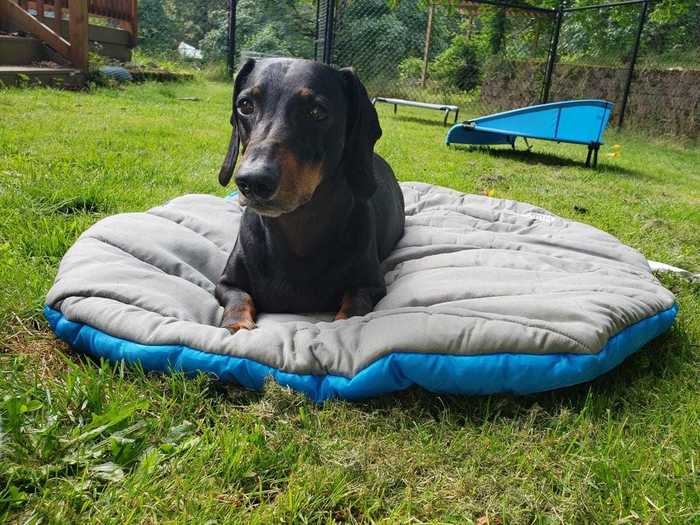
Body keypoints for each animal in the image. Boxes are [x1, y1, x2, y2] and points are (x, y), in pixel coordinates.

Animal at [215, 58, 404, 332]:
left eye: (317, 112)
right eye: (245, 105)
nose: (252, 181)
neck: (298, 226)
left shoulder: (370, 286)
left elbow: (354, 305)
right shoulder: (226, 284)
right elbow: (239, 298)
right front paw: (237, 325)